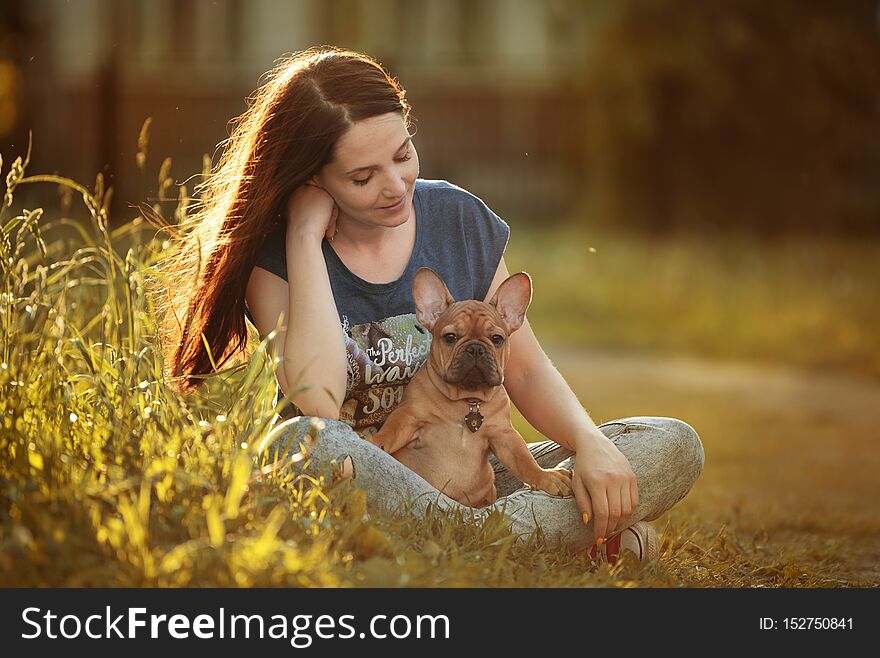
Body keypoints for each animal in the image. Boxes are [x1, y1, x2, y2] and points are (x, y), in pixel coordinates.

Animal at [368, 266, 576, 508]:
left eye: (497, 339)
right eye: (450, 337)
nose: (475, 348)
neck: (467, 400)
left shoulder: (504, 436)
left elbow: (524, 460)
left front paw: (545, 477)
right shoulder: (409, 416)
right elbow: (391, 431)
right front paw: (375, 441)